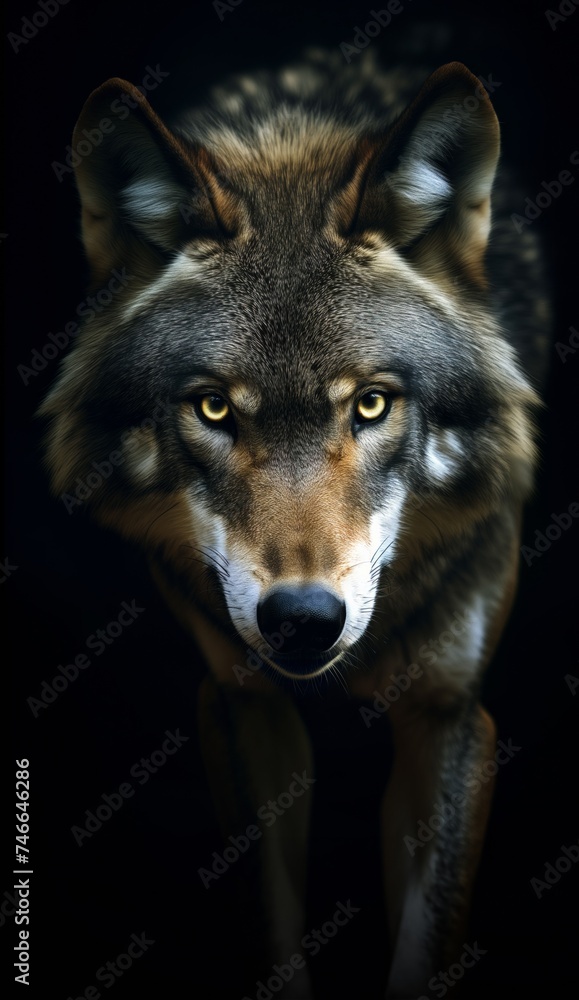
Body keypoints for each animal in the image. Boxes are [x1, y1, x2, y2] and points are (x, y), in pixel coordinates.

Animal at [40, 47, 550, 997]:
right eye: (212, 409)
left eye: (371, 404)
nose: (303, 620)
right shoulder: (243, 706)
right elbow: (275, 937)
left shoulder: (451, 717)